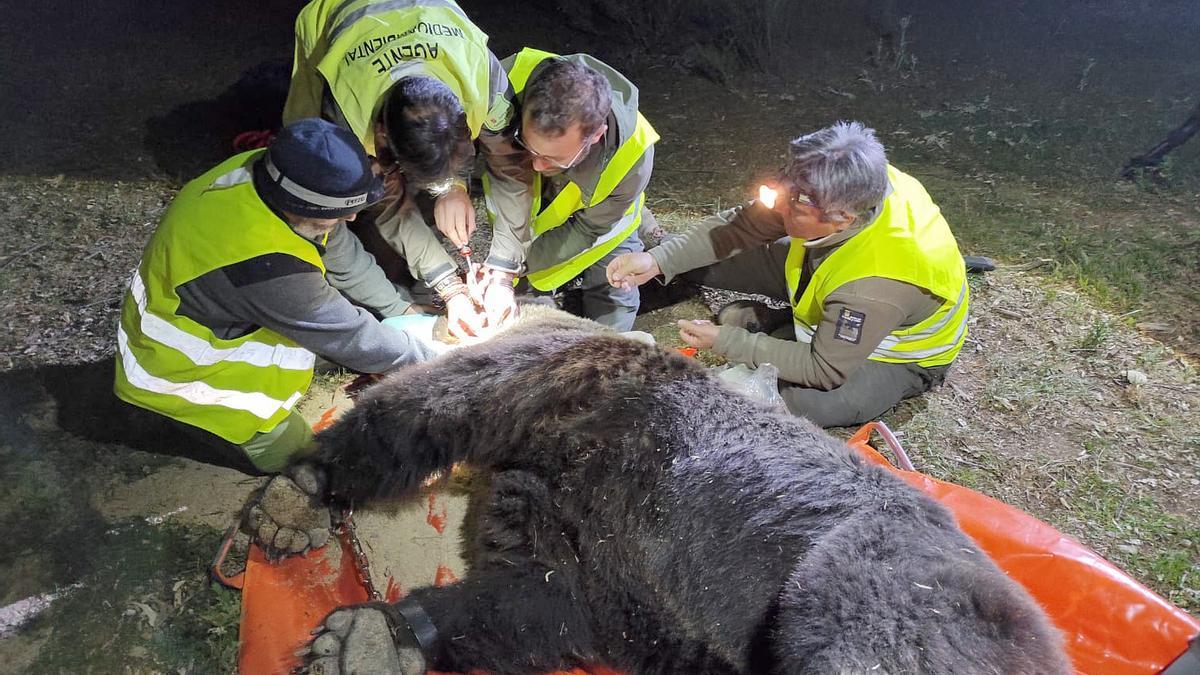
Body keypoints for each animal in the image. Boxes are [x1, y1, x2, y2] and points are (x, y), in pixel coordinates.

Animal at [276, 314, 1065, 672]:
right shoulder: (580, 559)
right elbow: (532, 601)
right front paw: (380, 633)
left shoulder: (556, 378)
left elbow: (438, 398)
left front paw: (307, 481)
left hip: (878, 588)